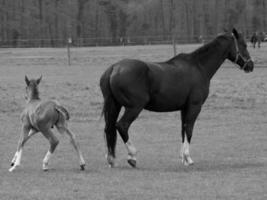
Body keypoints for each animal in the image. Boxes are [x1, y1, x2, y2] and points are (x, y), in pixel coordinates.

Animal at [99, 28, 254, 168]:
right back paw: (132, 156)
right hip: (134, 108)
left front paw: (183, 158)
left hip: (115, 106)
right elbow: (189, 129)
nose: (251, 65)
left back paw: (111, 159)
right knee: (122, 126)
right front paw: (188, 158)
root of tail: (114, 68)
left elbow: (183, 130)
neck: (198, 67)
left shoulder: (184, 108)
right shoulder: (194, 106)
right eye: (244, 45)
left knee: (109, 128)